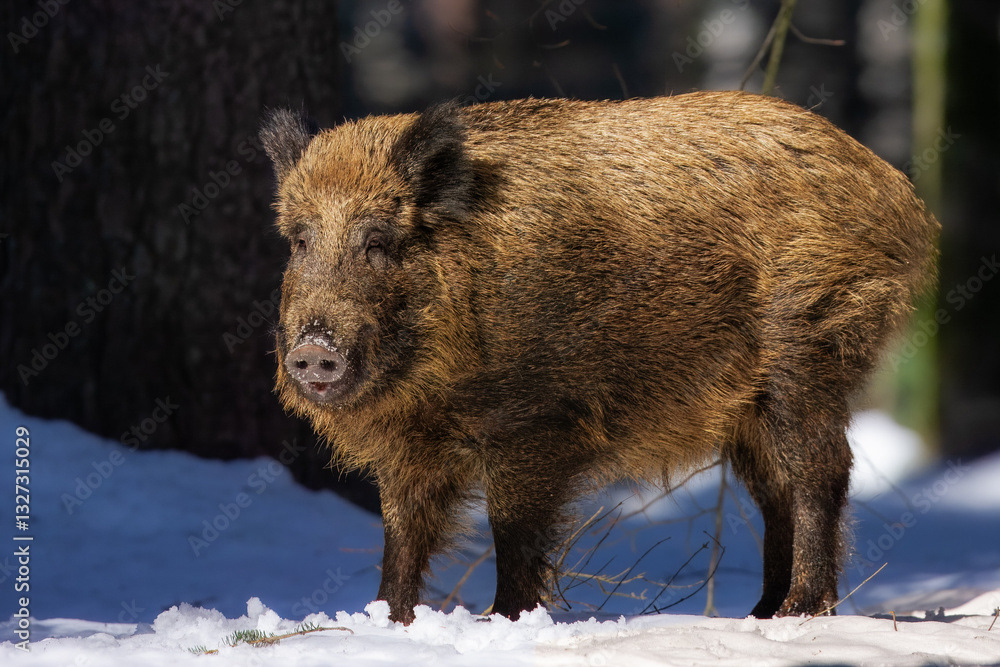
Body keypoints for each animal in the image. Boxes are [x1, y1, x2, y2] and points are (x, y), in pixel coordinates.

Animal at [260, 90, 939, 624]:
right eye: (300, 240)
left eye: (378, 240)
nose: (314, 352)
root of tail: (902, 197)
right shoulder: (409, 447)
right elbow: (400, 533)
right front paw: (385, 620)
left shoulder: (536, 424)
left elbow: (513, 531)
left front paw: (503, 621)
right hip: (748, 405)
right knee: (774, 489)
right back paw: (760, 612)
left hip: (809, 345)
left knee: (821, 469)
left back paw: (799, 611)